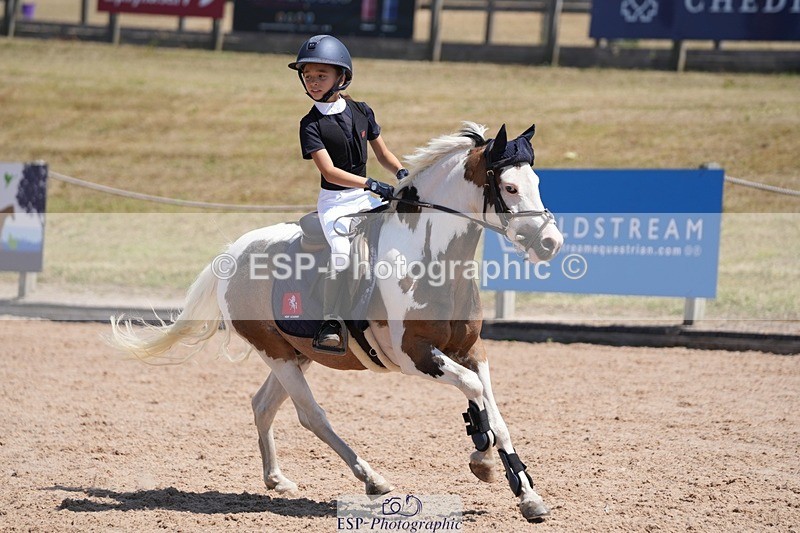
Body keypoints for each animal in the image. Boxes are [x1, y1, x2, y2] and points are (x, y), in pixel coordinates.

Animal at [109, 121, 564, 522]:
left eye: (537, 183)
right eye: (509, 188)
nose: (550, 243)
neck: (433, 259)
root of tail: (233, 253)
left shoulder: (471, 349)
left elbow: (494, 410)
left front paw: (526, 494)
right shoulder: (415, 355)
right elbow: (474, 391)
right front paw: (482, 459)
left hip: (297, 354)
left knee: (263, 405)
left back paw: (277, 479)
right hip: (276, 353)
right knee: (311, 415)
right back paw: (373, 480)